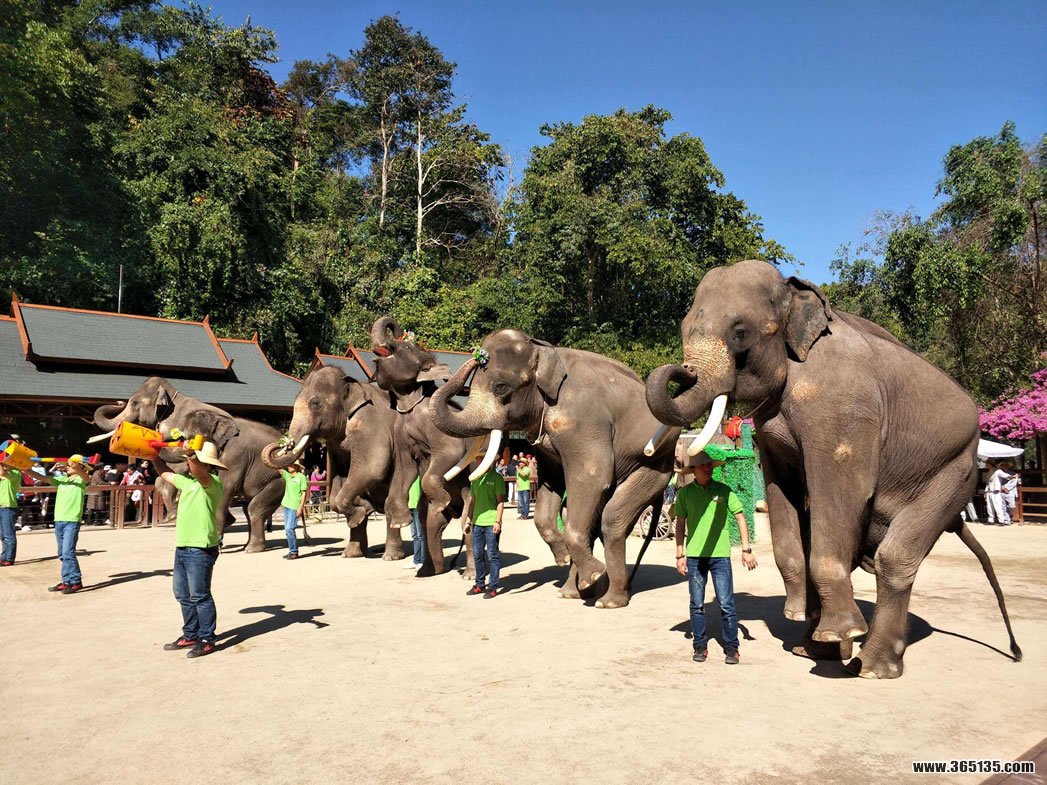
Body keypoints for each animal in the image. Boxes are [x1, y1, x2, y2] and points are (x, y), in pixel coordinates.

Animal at [93, 377, 285, 553]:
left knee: (253, 509)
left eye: (134, 403)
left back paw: (249, 546)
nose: (118, 402)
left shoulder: (234, 455)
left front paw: (172, 516)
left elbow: (212, 480)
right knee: (247, 508)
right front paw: (172, 516)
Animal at [260, 365, 406, 560]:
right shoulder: (335, 446)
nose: (286, 443)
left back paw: (390, 557)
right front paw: (362, 512)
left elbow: (372, 468)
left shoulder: (370, 425)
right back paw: (353, 553)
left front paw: (359, 513)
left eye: (315, 403)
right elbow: (337, 485)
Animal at [430, 328, 679, 608]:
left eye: (500, 387)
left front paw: (588, 570)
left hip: (656, 465)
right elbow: (552, 484)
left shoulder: (581, 420)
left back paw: (607, 600)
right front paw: (564, 558)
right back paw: (575, 591)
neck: (544, 350)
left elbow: (592, 476)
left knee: (612, 520)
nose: (475, 356)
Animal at [644, 259, 1021, 678]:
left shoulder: (841, 409)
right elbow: (783, 493)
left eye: (740, 332)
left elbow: (841, 490)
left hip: (955, 471)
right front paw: (800, 618)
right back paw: (816, 650)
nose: (682, 371)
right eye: (683, 327)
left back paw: (869, 667)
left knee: (895, 557)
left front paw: (838, 632)